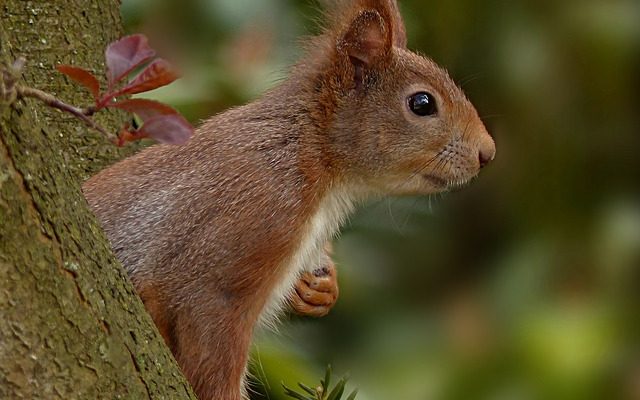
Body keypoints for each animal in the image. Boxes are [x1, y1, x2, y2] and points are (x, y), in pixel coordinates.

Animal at [84, 0, 496, 398]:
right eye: (422, 103)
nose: (487, 153)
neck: (312, 155)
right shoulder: (252, 220)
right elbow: (208, 332)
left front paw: (322, 288)